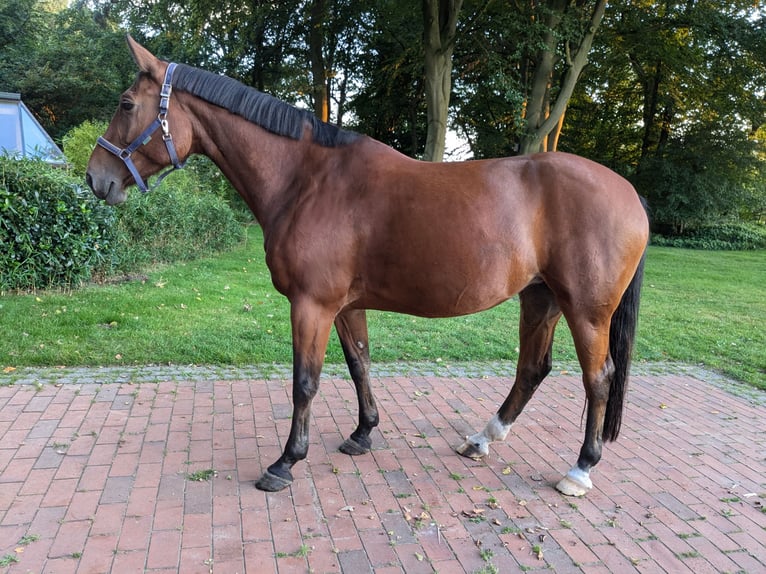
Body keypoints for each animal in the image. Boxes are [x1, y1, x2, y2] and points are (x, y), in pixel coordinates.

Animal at [87, 37, 652, 496]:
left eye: (126, 104)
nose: (96, 178)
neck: (308, 180)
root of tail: (629, 193)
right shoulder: (343, 306)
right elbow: (359, 362)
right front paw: (363, 433)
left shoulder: (311, 305)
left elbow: (306, 381)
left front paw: (285, 462)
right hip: (540, 298)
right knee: (533, 369)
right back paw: (482, 439)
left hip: (586, 311)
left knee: (598, 378)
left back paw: (580, 468)